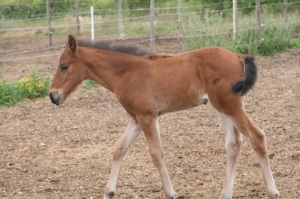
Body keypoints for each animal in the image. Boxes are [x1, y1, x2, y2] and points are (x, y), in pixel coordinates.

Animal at [48, 35, 278, 199]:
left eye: (64, 66)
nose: (52, 95)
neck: (127, 72)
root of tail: (239, 56)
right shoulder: (136, 119)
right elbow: (118, 149)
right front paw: (109, 192)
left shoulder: (147, 116)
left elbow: (156, 154)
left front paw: (170, 193)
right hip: (223, 107)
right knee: (233, 145)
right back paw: (225, 194)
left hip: (229, 105)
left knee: (256, 137)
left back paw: (272, 192)